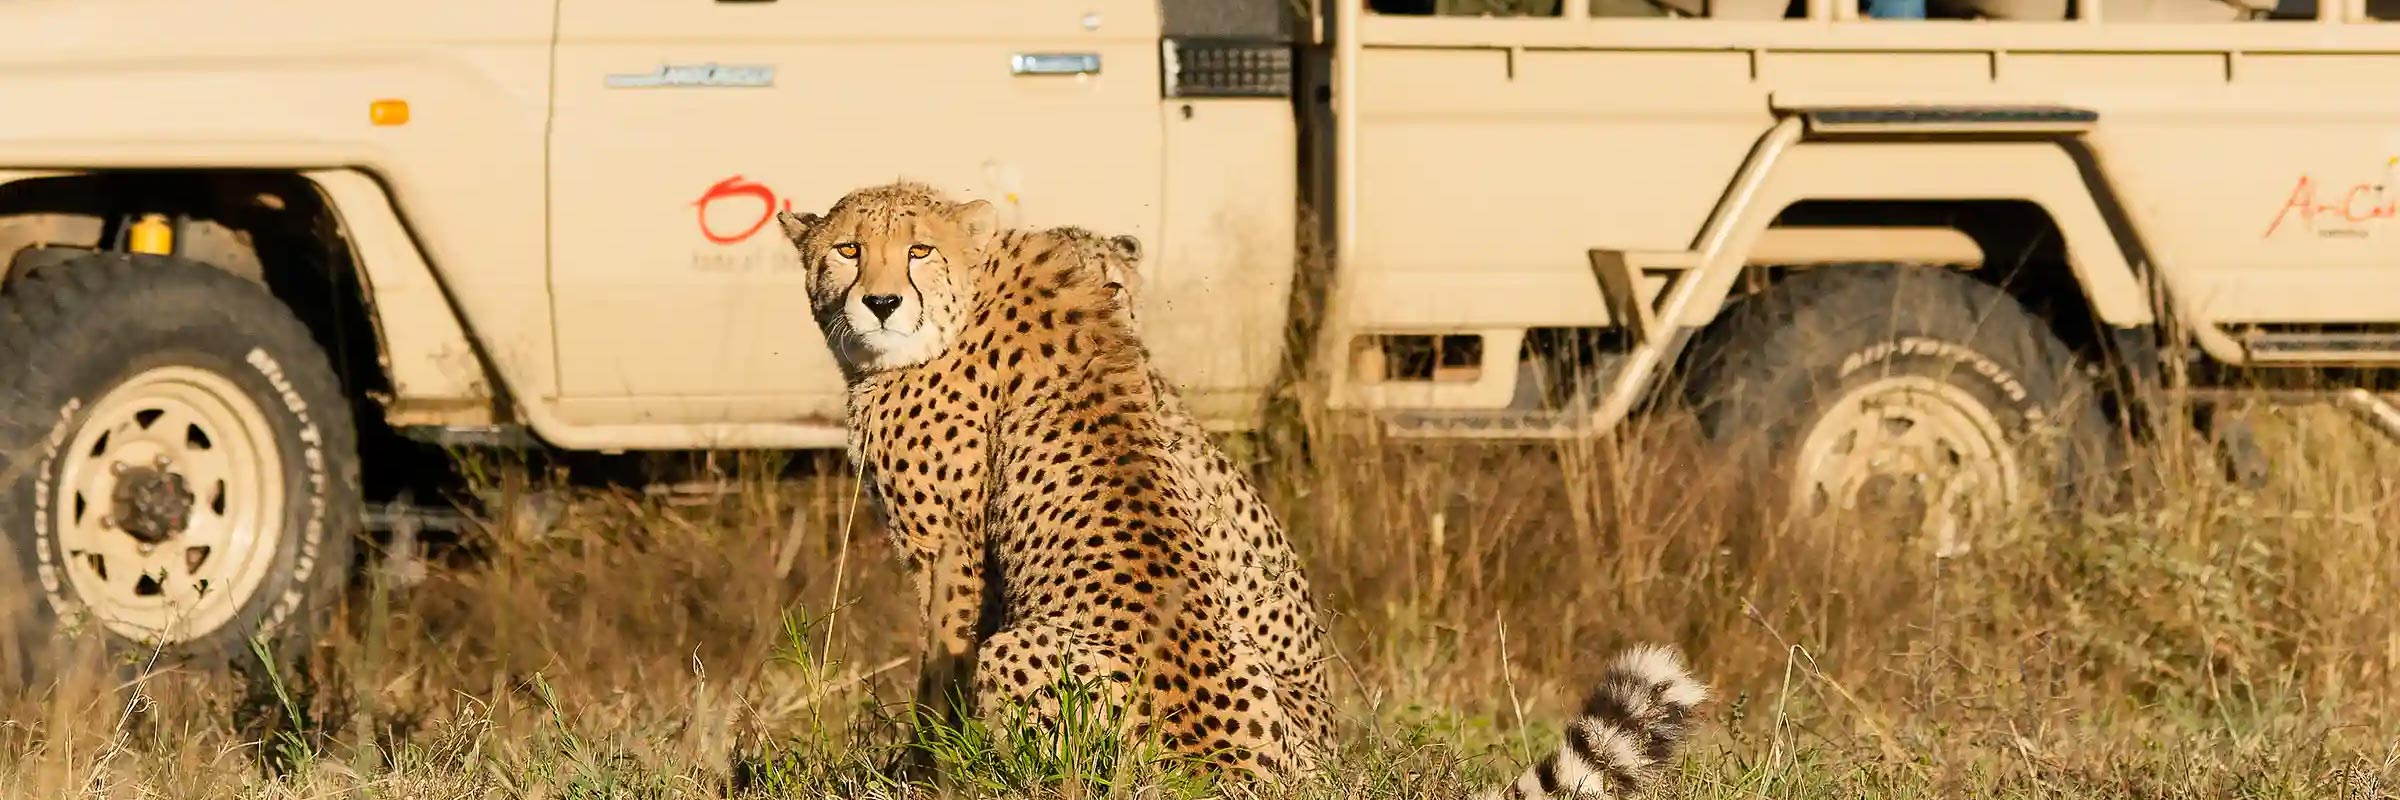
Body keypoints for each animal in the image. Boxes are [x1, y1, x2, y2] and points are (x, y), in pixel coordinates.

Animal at [776, 180, 1709, 797]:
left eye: (917, 248)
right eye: (847, 250)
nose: (881, 302)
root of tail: (1262, 779)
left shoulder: (952, 556)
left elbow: (936, 678)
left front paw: (922, 774)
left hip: (1028, 660)